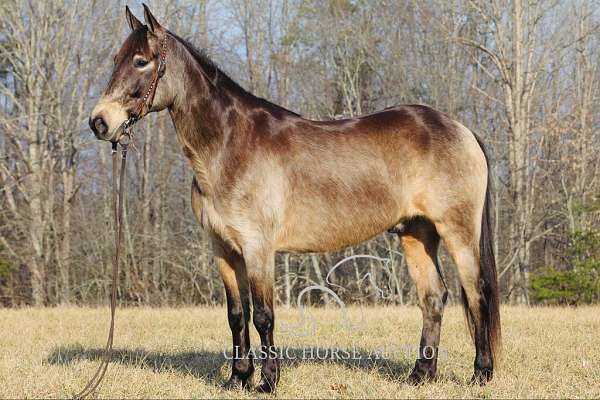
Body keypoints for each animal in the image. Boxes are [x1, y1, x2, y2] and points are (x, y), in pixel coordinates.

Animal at [89, 4, 500, 394]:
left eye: (141, 61)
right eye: (117, 59)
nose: (99, 122)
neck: (229, 147)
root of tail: (461, 129)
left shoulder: (257, 248)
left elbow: (263, 315)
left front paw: (267, 382)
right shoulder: (223, 249)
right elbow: (236, 315)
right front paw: (237, 379)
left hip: (457, 233)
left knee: (476, 293)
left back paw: (481, 374)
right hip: (416, 233)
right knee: (433, 297)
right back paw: (420, 375)